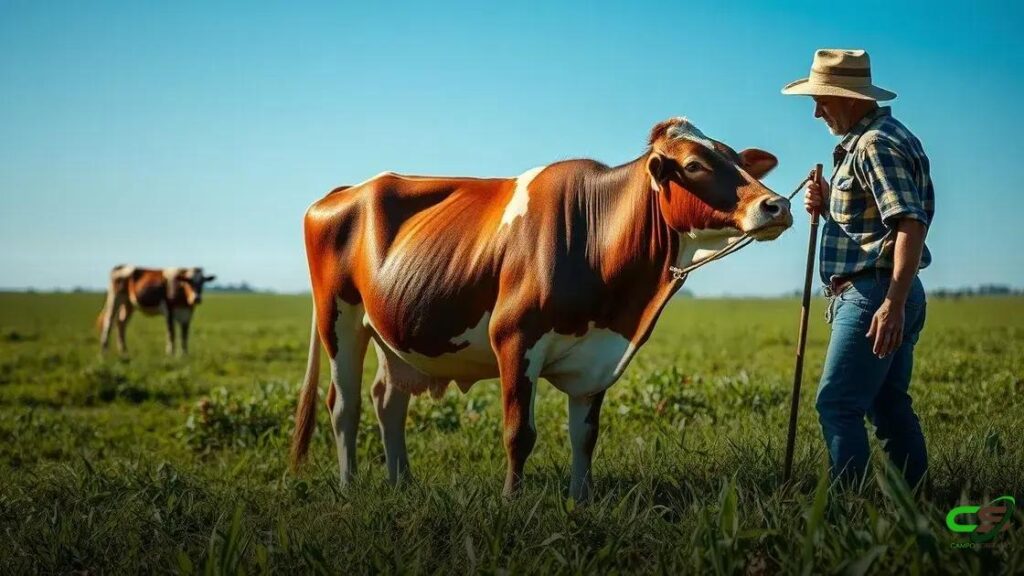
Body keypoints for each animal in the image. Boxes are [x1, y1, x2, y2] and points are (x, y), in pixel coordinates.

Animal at [291, 117, 793, 500]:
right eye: (694, 165)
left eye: (738, 159)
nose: (777, 205)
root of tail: (345, 191)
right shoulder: (514, 338)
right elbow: (519, 433)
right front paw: (512, 500)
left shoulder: (598, 356)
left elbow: (585, 436)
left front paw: (581, 500)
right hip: (340, 319)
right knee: (344, 404)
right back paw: (349, 488)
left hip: (394, 332)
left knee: (389, 400)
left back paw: (403, 484)